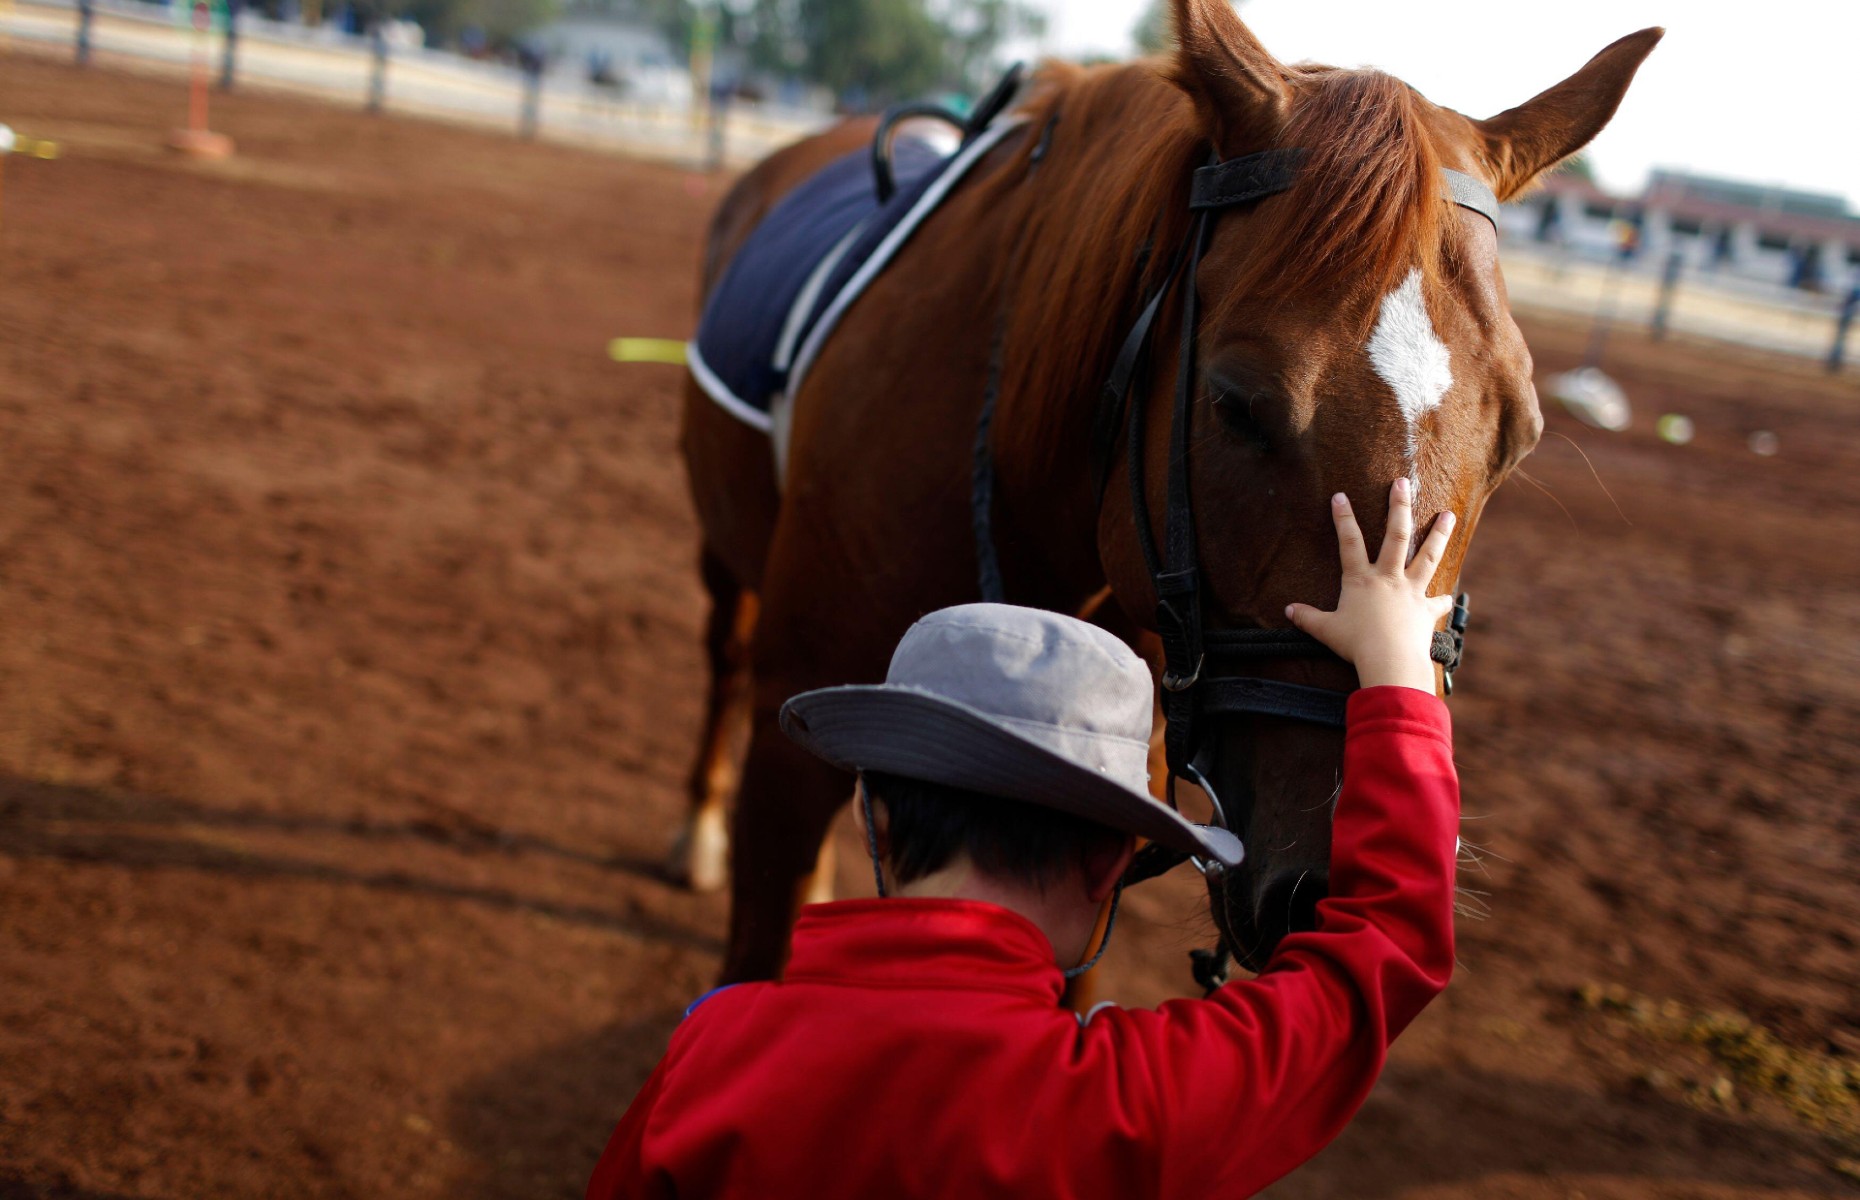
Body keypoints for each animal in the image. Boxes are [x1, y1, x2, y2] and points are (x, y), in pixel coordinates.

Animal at [669, 0, 1659, 982]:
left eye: (1520, 436)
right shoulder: (790, 755)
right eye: (1235, 403)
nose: (1330, 880)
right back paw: (698, 835)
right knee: (724, 654)